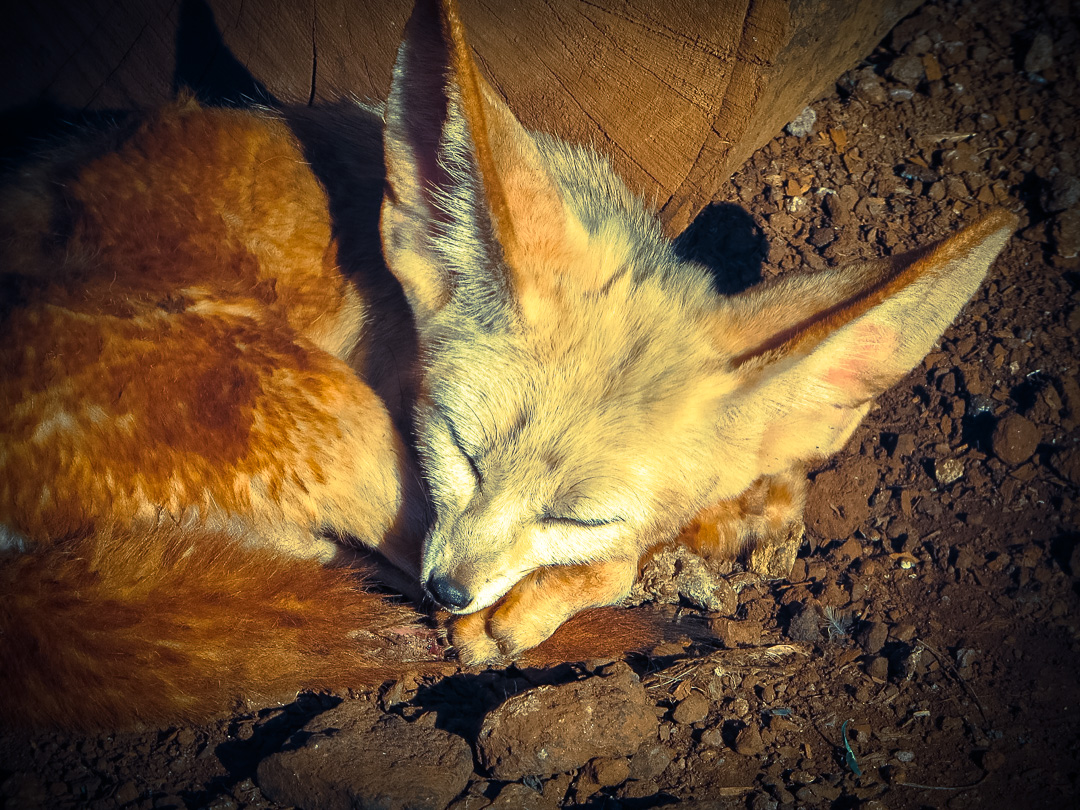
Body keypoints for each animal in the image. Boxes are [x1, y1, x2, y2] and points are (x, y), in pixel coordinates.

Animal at [0, 0, 1016, 730]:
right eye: (460, 449)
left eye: (574, 511)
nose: (451, 591)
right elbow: (617, 565)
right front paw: (555, 598)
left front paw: (755, 504)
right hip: (332, 415)